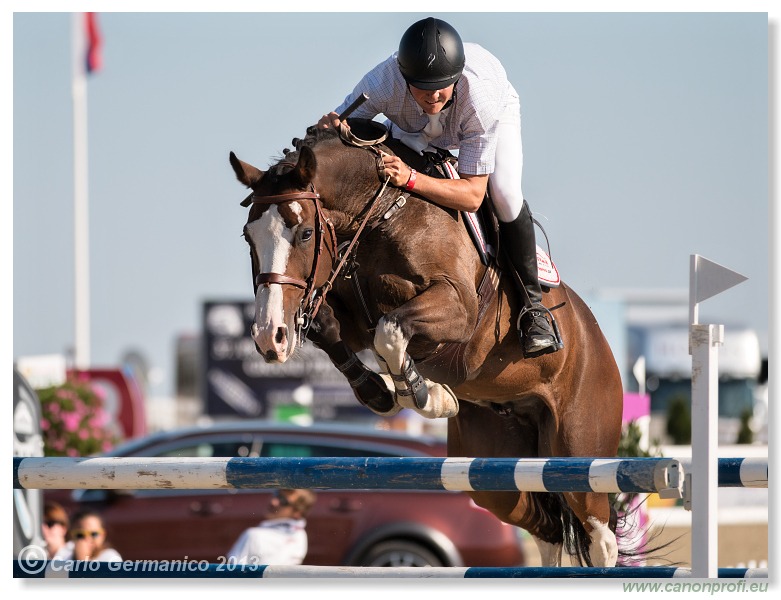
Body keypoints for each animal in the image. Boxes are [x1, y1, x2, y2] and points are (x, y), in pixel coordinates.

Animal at [229, 123, 624, 568]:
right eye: (248, 237)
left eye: (305, 232)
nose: (269, 337)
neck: (382, 214)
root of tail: (596, 335)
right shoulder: (347, 312)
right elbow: (328, 330)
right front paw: (381, 392)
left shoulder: (457, 308)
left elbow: (390, 330)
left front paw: (426, 395)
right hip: (496, 469)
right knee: (547, 528)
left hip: (578, 450)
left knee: (598, 531)